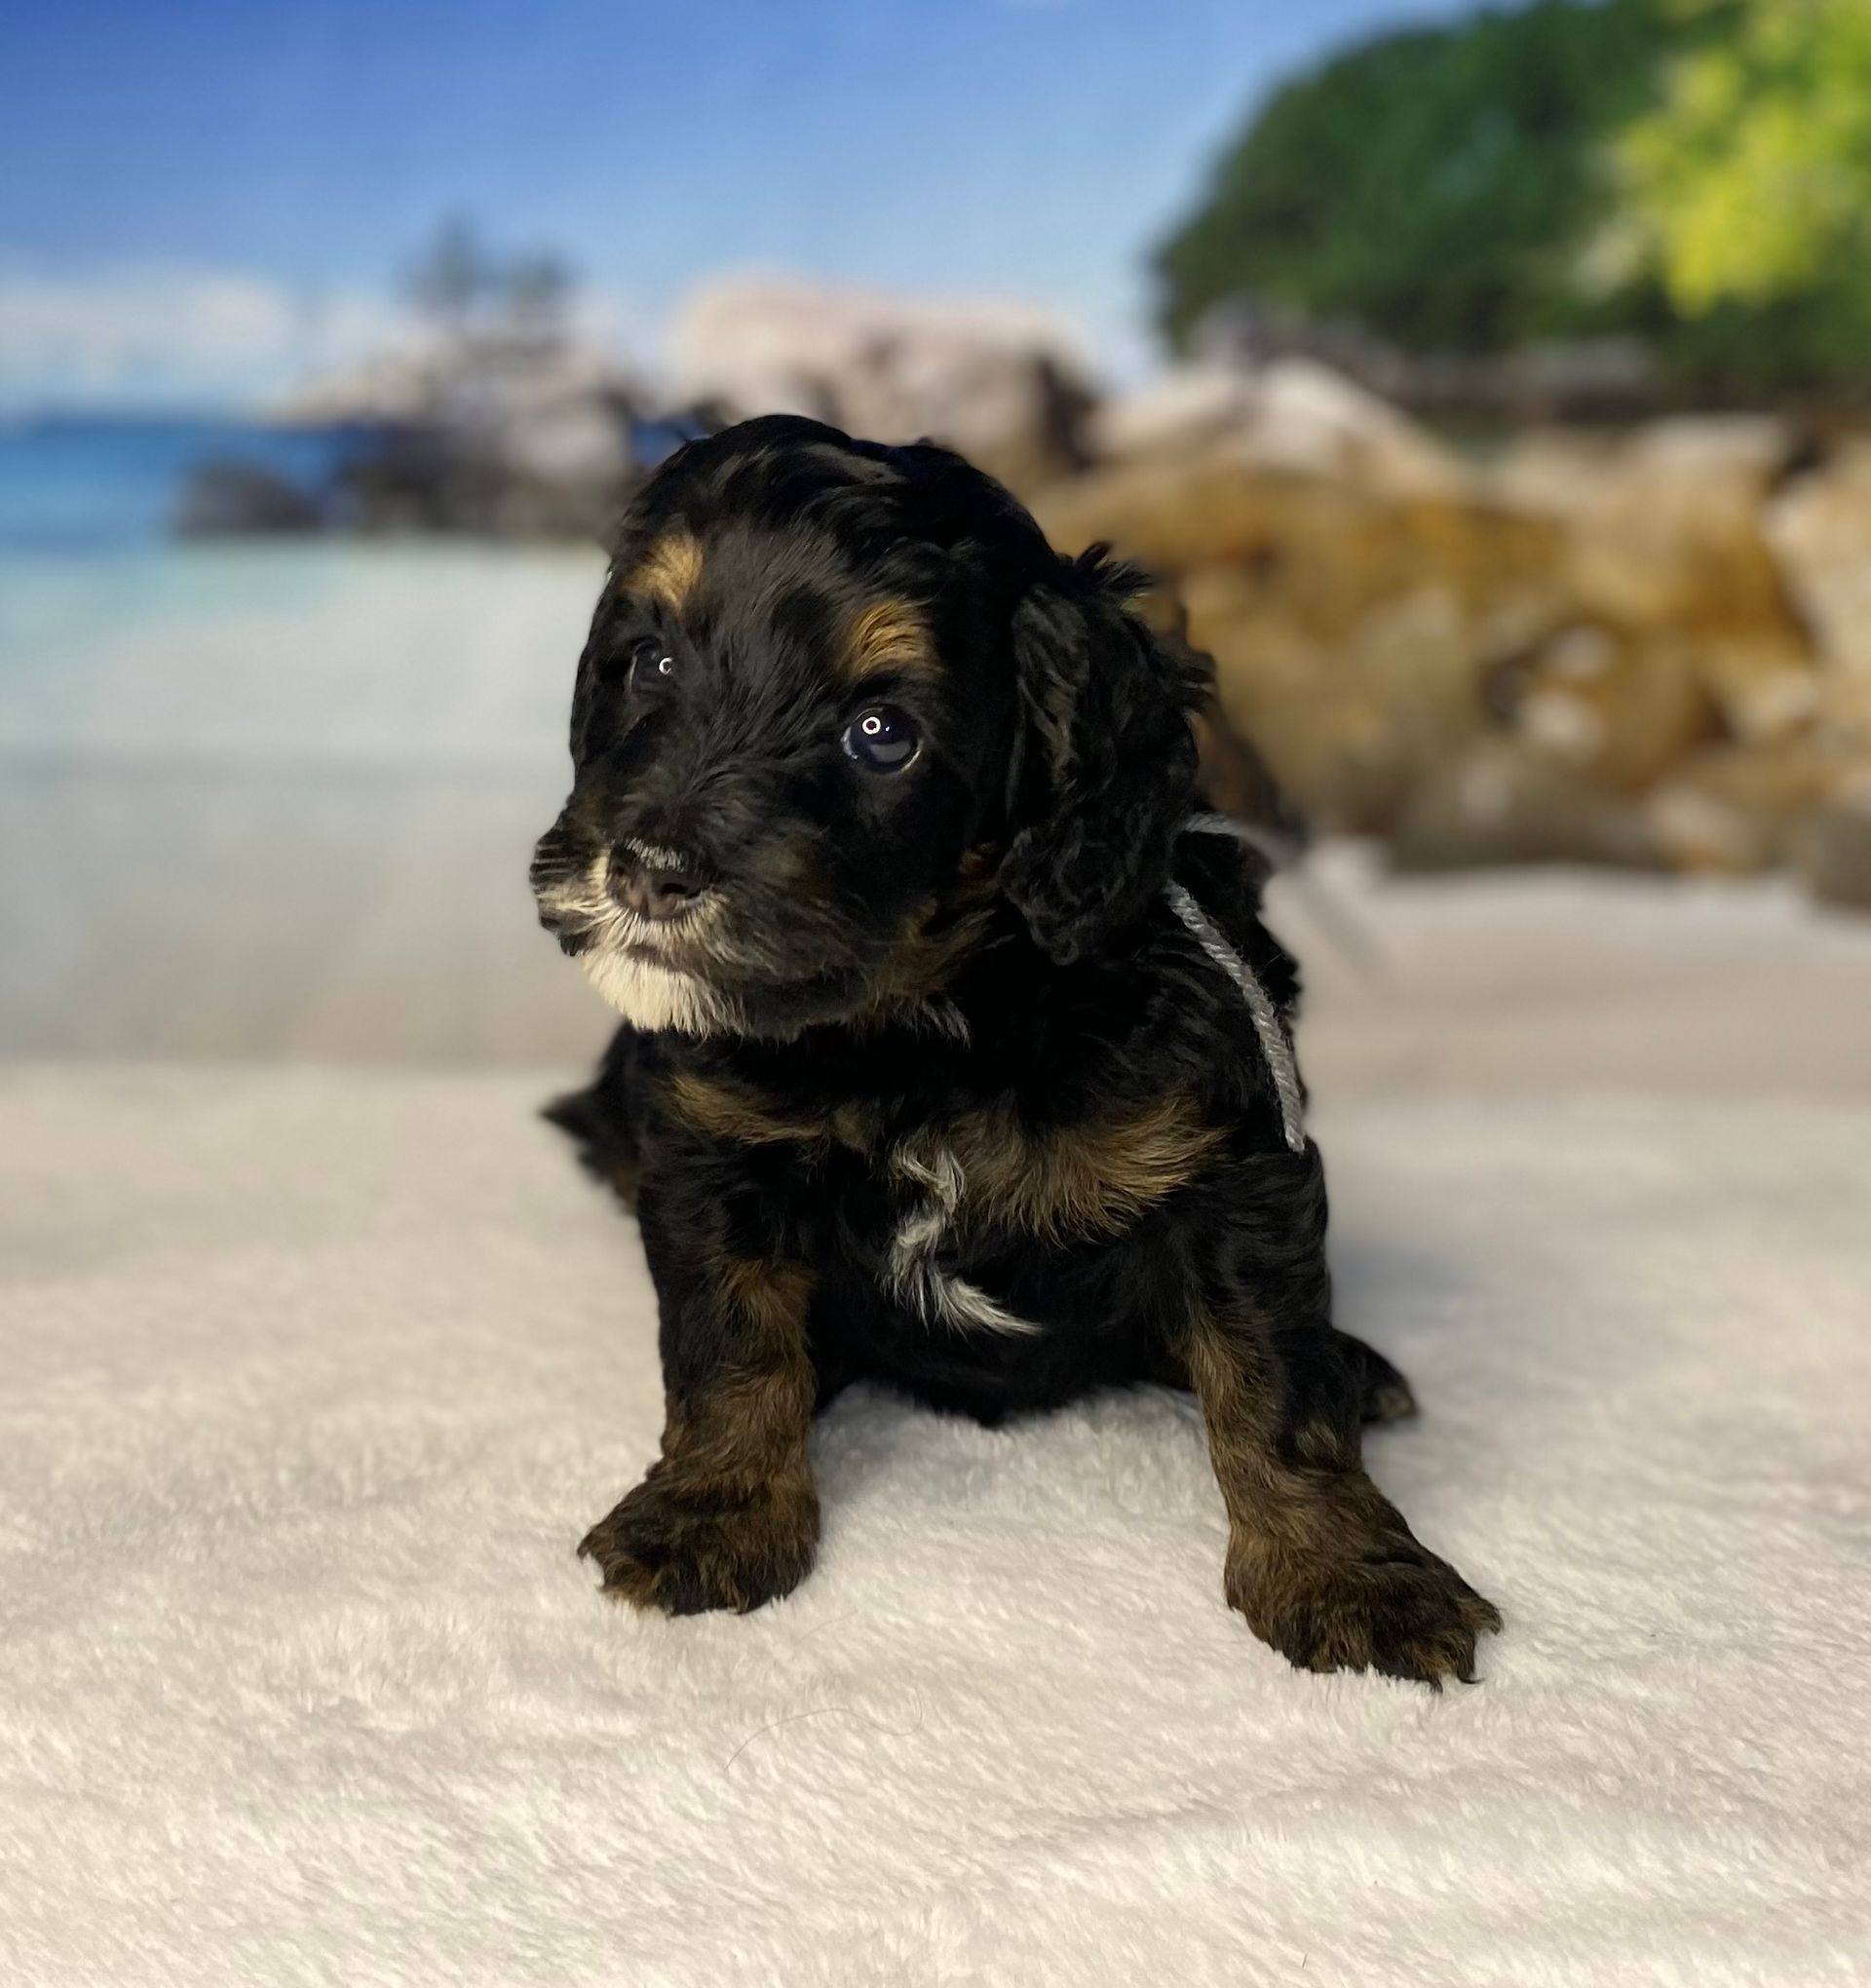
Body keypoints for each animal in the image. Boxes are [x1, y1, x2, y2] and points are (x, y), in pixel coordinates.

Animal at [532, 411, 1495, 1685]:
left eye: (881, 734)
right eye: (651, 662)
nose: (646, 870)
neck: (930, 1025)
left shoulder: (1234, 1158)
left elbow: (1273, 1381)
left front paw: (1348, 1576)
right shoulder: (708, 1144)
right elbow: (730, 1339)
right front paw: (714, 1512)